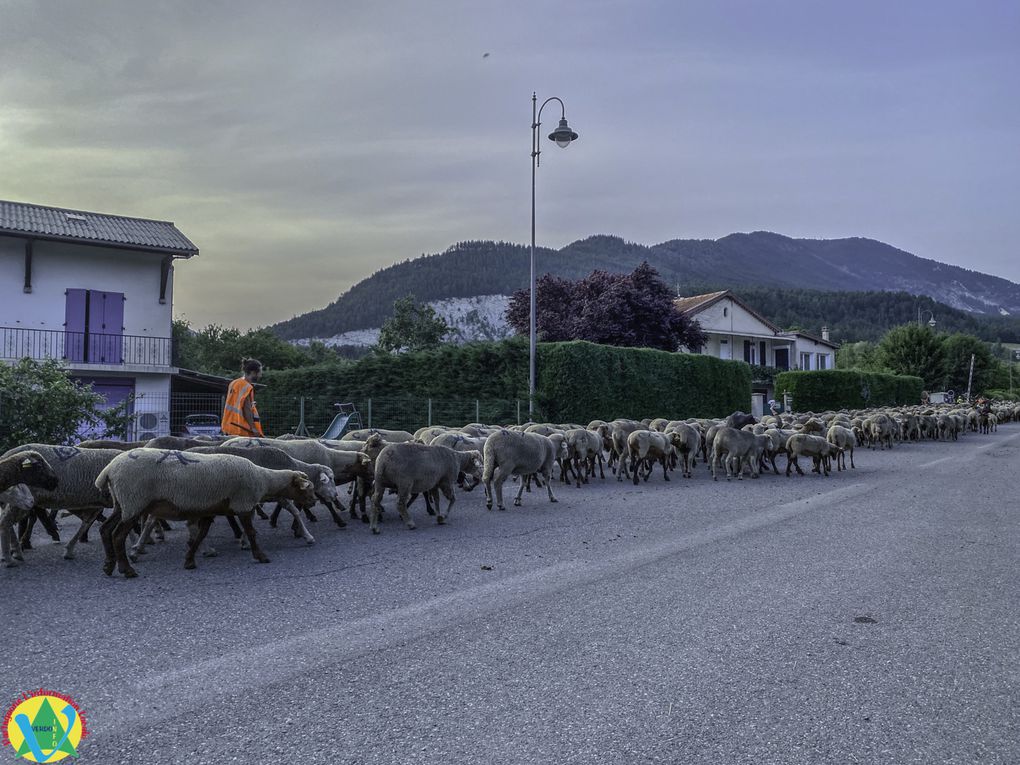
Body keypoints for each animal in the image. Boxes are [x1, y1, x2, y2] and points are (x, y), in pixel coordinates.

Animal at [99, 448, 316, 575]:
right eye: (307, 489)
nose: (313, 502)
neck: (263, 479)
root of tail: (109, 470)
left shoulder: (209, 508)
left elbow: (200, 535)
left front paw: (190, 560)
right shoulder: (243, 503)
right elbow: (252, 533)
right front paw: (261, 556)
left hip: (122, 503)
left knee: (105, 529)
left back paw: (109, 565)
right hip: (133, 501)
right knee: (117, 535)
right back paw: (127, 569)